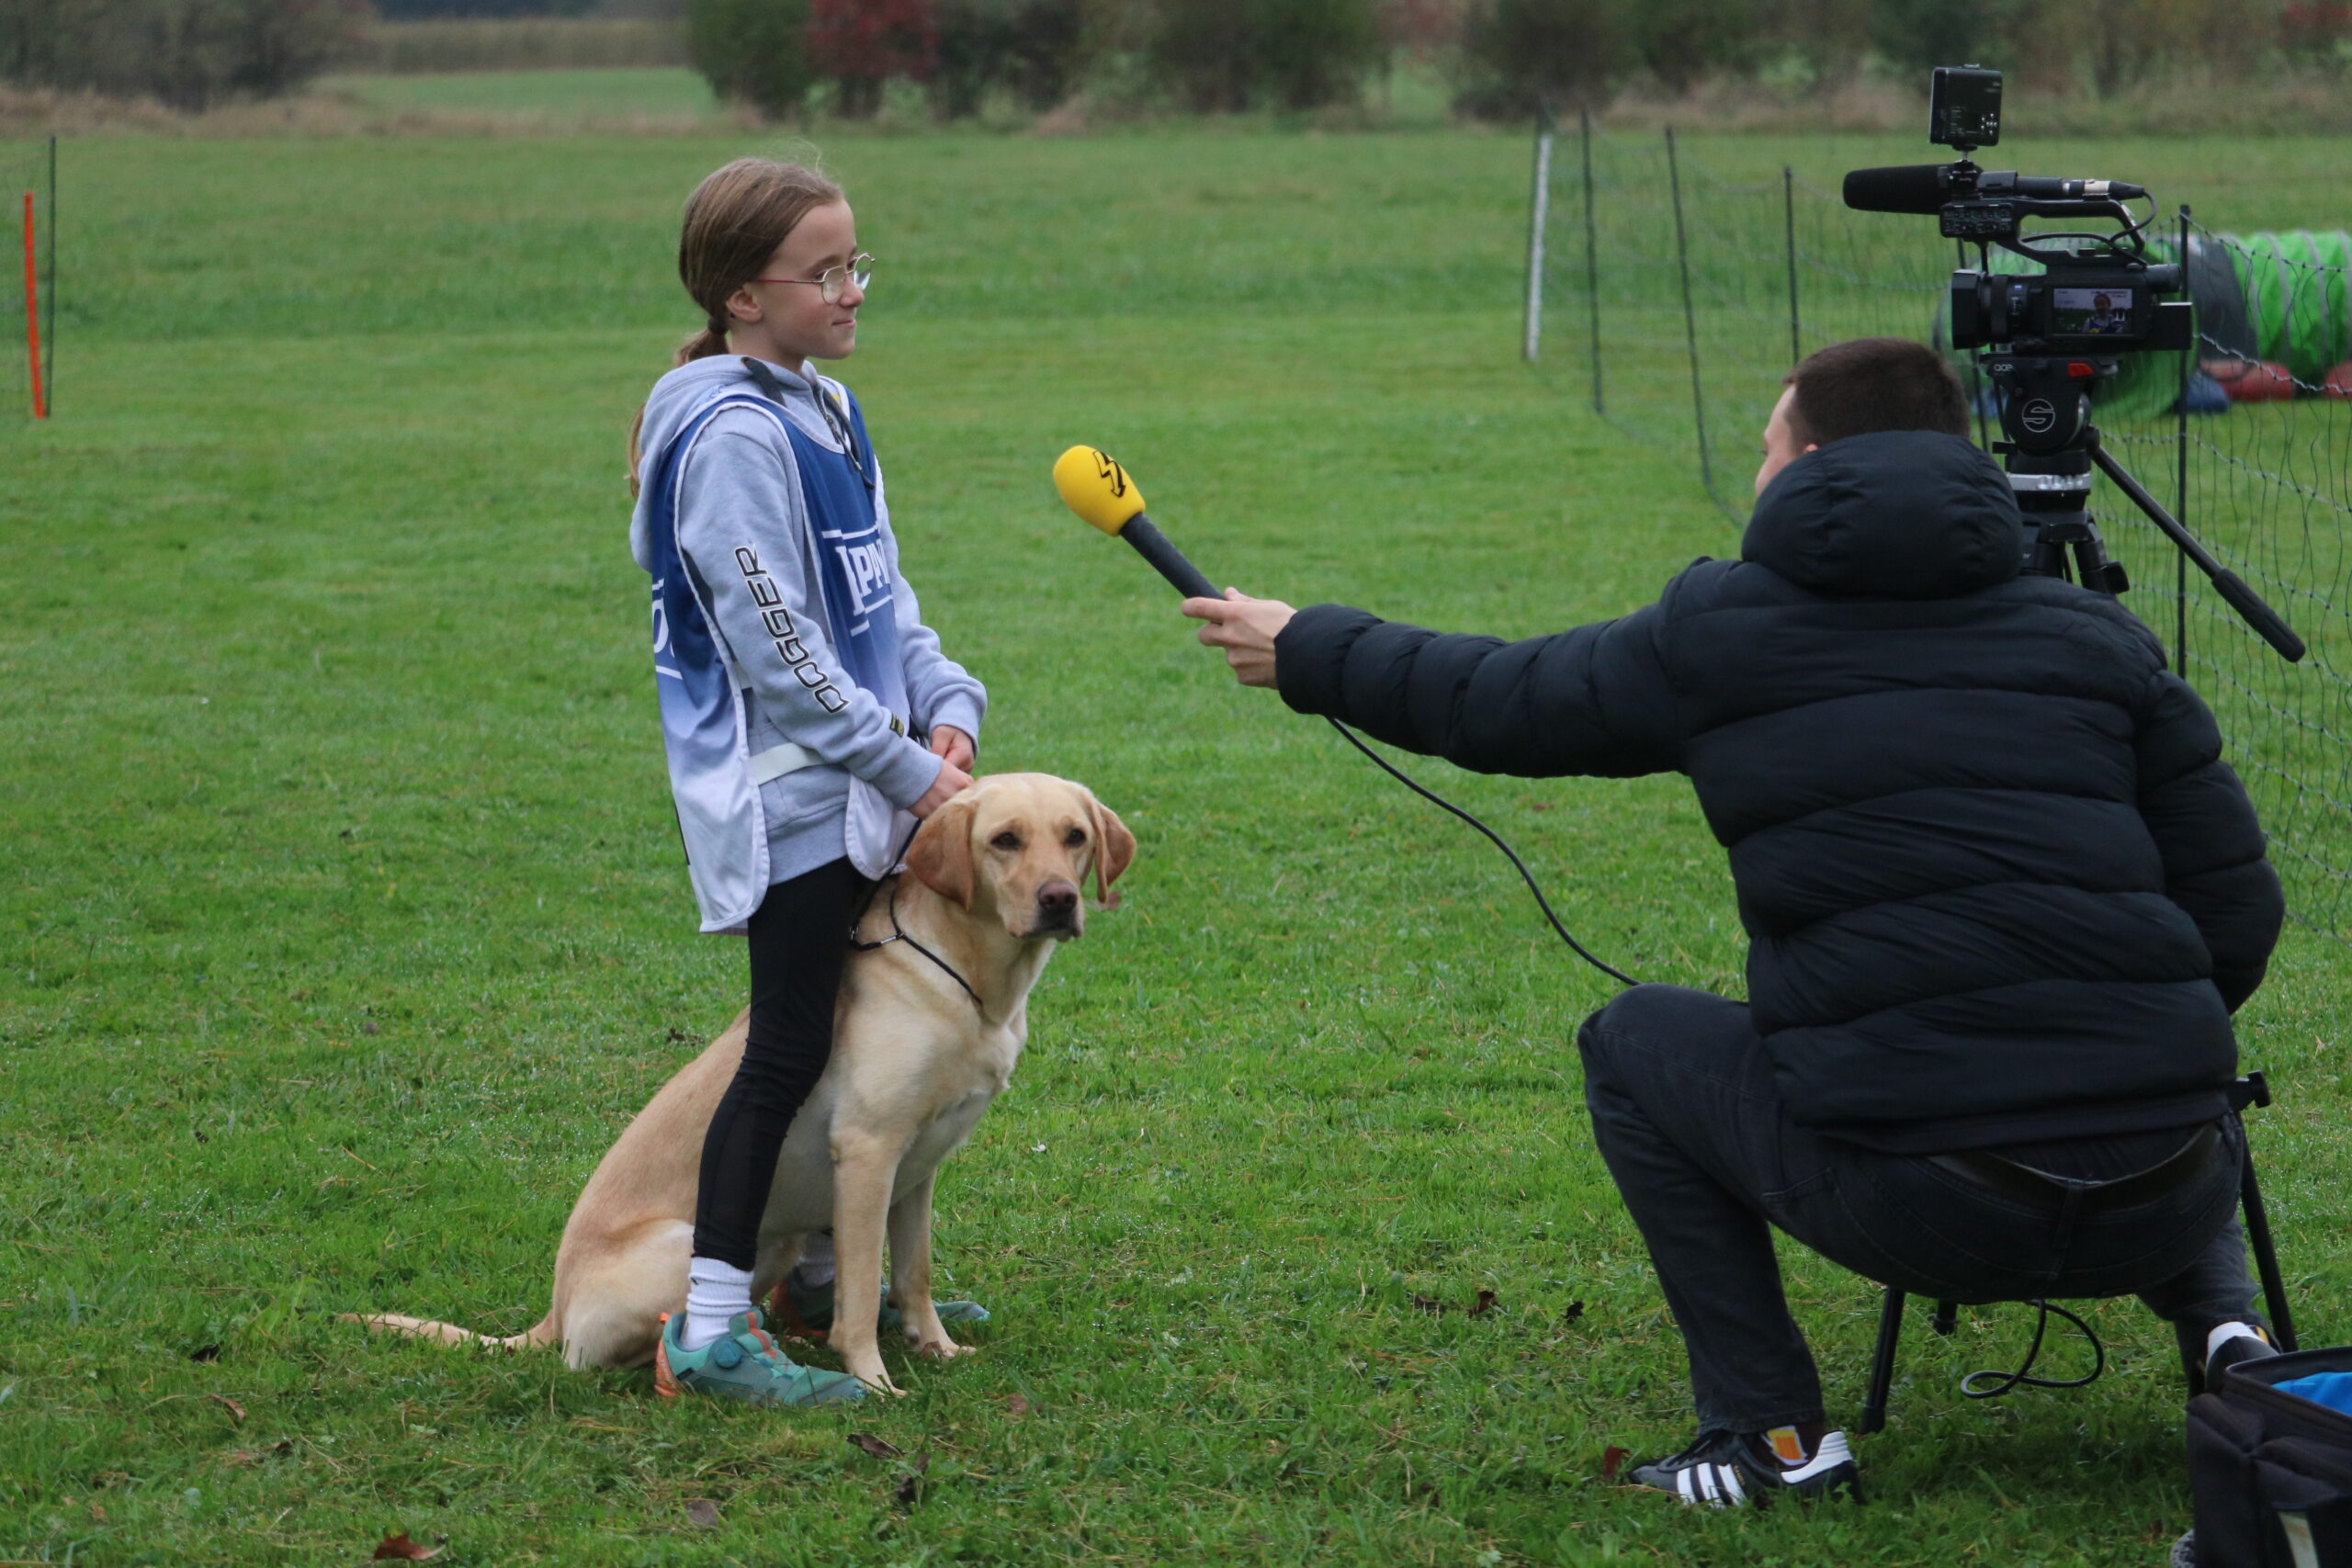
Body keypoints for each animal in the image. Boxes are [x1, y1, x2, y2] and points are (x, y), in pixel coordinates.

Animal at [362, 775, 1133, 1401]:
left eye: (1075, 836)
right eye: (1004, 840)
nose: (1060, 899)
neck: (969, 979)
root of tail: (552, 1309)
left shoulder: (919, 1167)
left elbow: (915, 1271)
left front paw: (936, 1346)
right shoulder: (868, 1152)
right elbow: (859, 1291)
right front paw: (875, 1379)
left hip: (779, 1242)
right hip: (694, 1241)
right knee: (606, 1354)